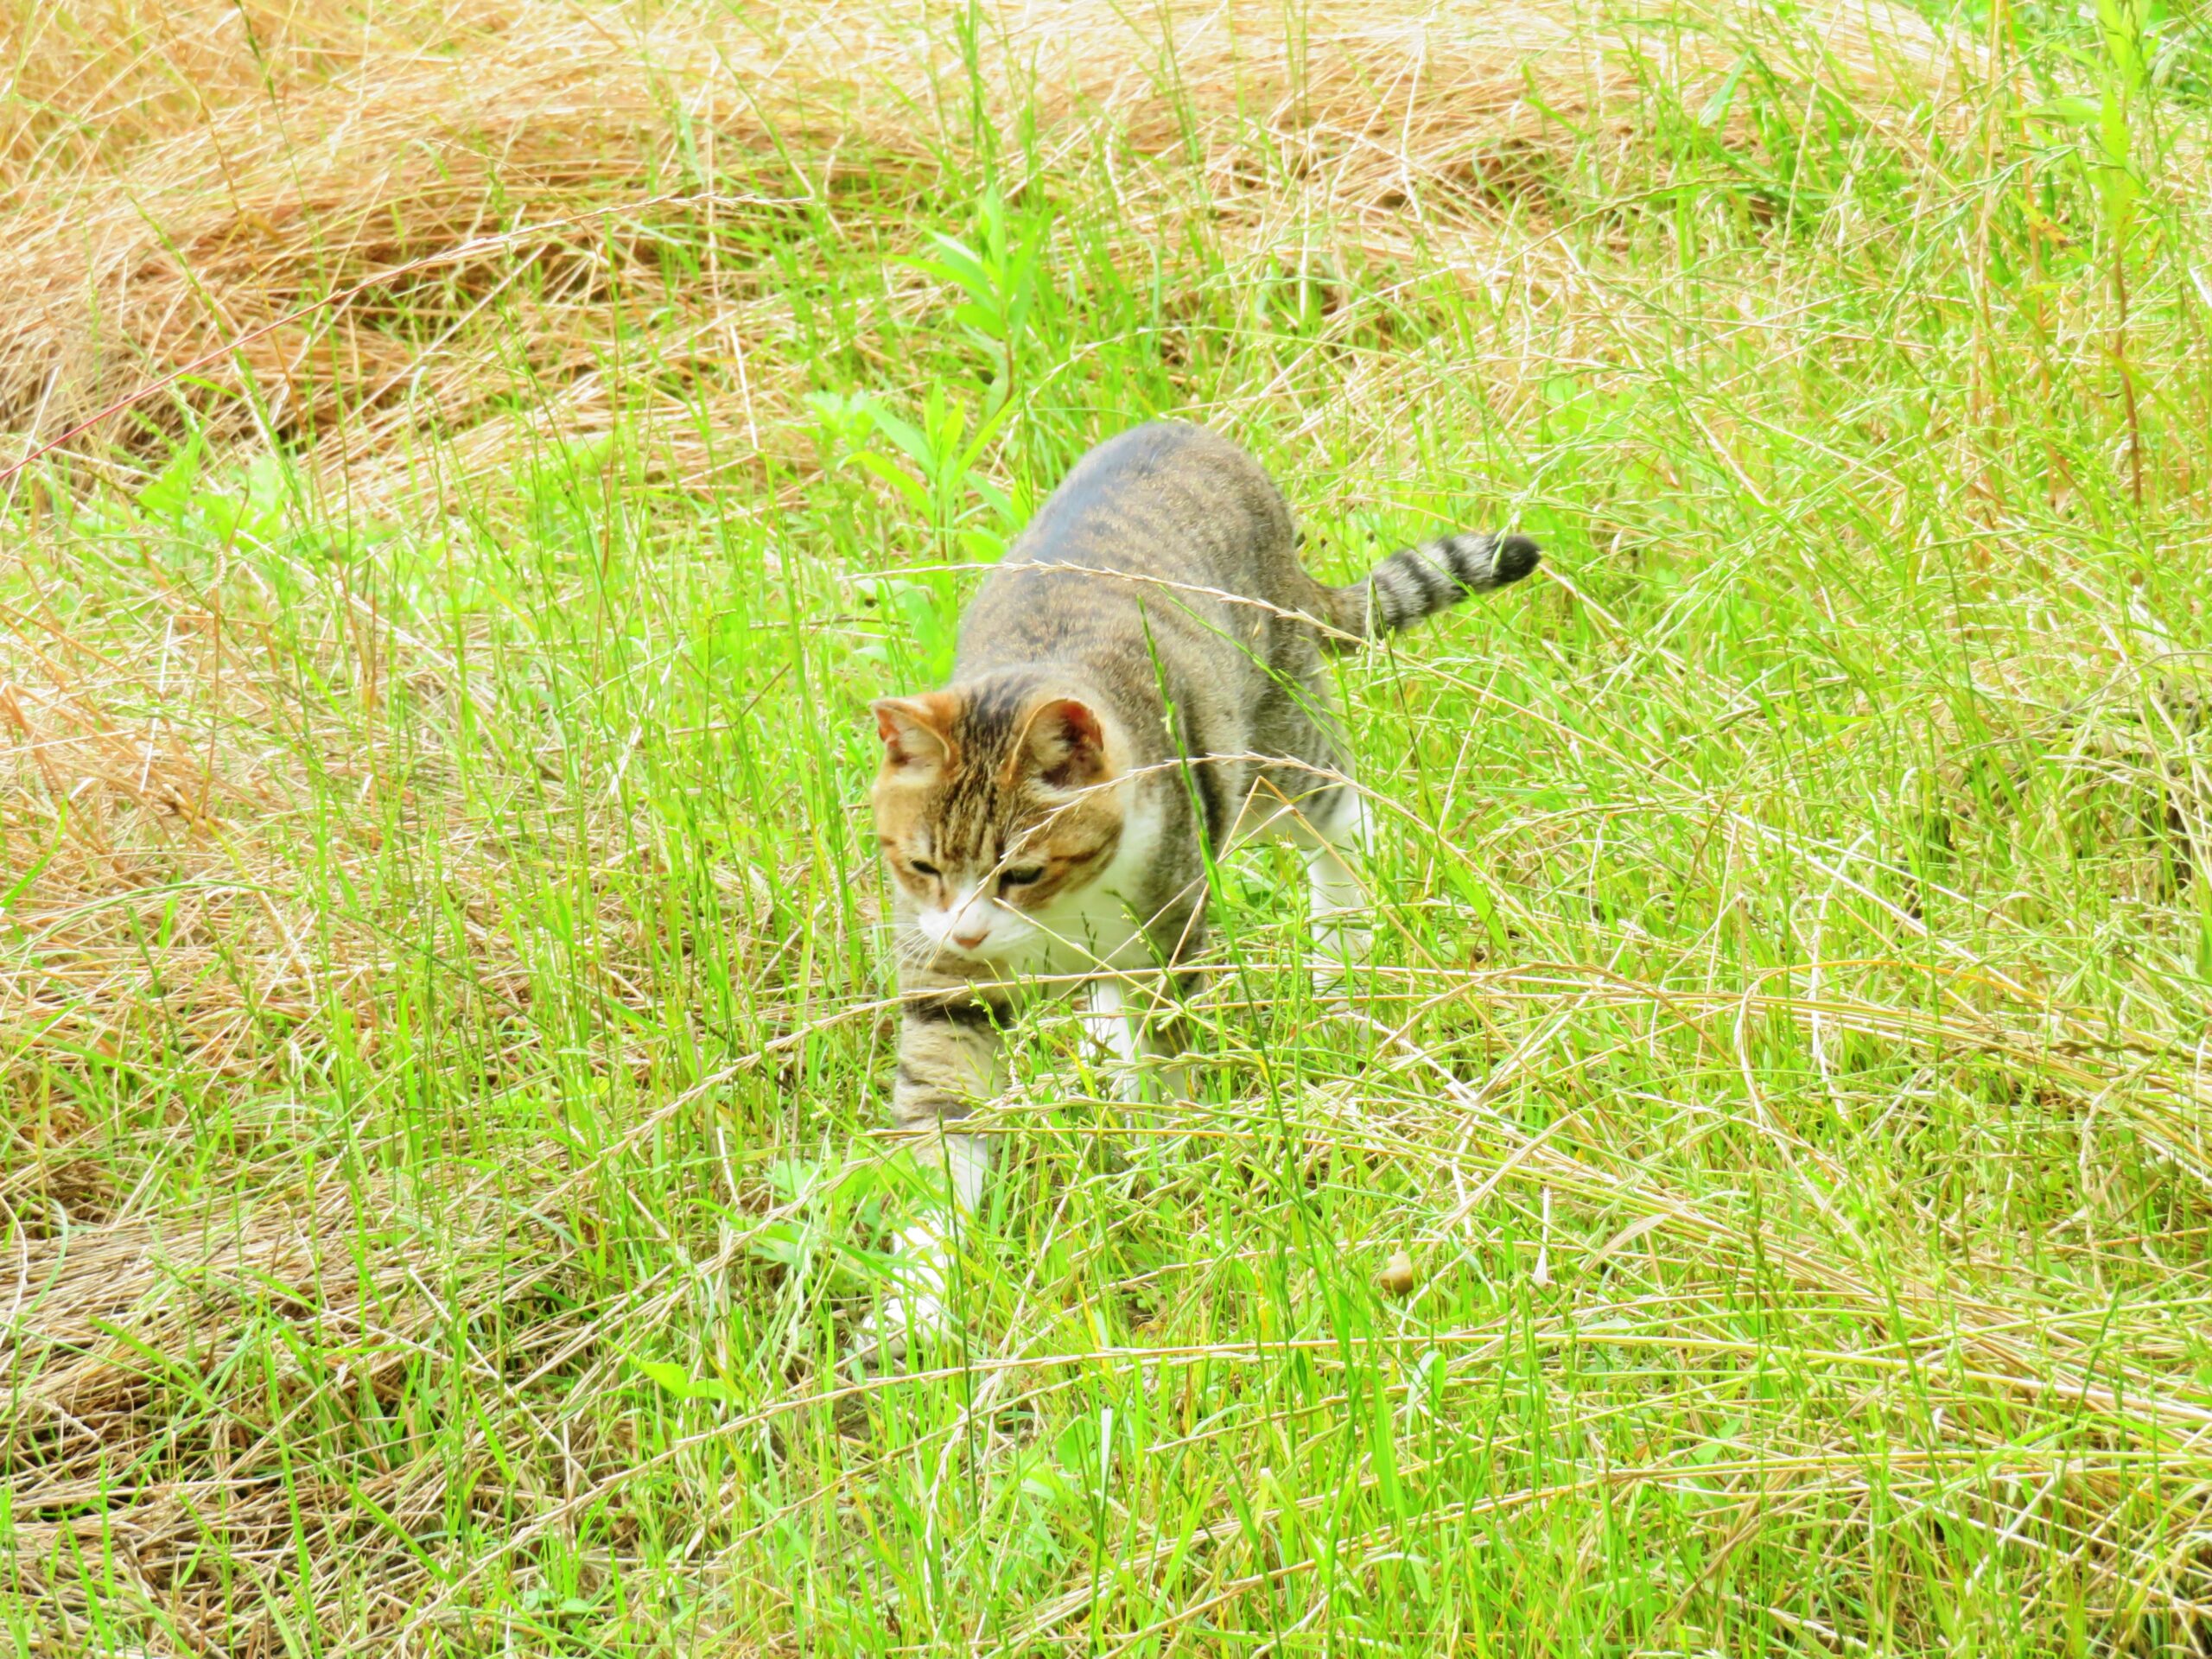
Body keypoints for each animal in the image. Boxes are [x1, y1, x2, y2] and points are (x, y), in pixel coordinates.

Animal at [862, 422, 1539, 1353]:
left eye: (1022, 871)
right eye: (923, 866)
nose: (966, 931)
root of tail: (1201, 438)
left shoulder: (1170, 932)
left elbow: (1166, 1068)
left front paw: (1167, 1171)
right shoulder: (946, 988)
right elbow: (941, 1137)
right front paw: (918, 1304)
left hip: (1272, 747)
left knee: (1342, 818)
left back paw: (1342, 957)